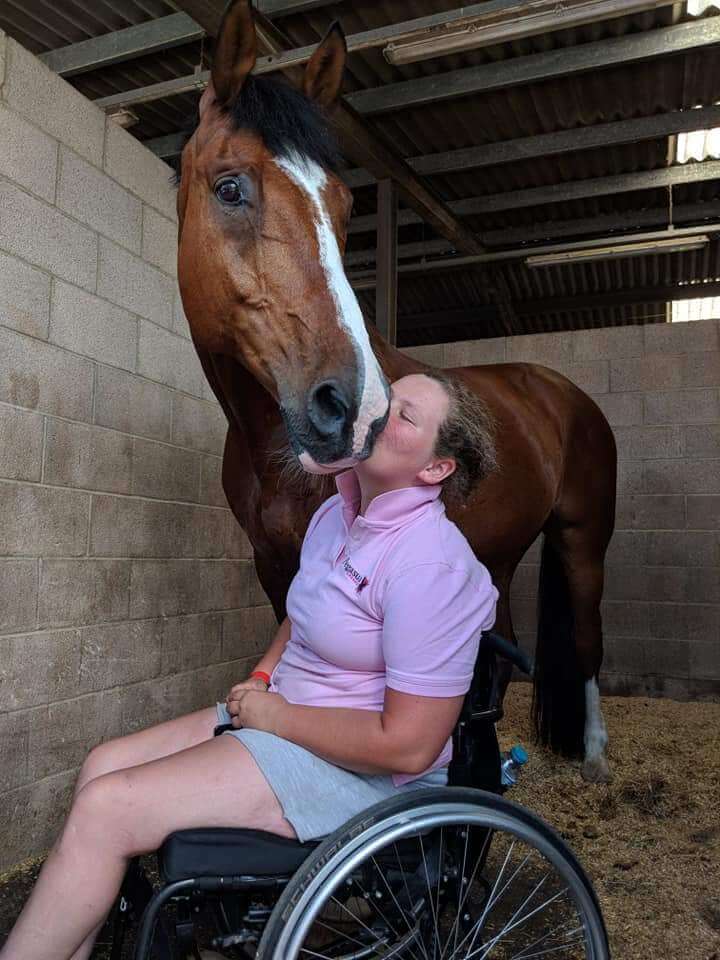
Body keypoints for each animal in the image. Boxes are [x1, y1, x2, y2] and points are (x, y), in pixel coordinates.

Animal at [176, 0, 617, 784]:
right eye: (230, 187)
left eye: (344, 202)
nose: (357, 411)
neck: (270, 447)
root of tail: (558, 390)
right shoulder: (276, 571)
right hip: (499, 553)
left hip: (583, 538)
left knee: (589, 643)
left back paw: (593, 757)